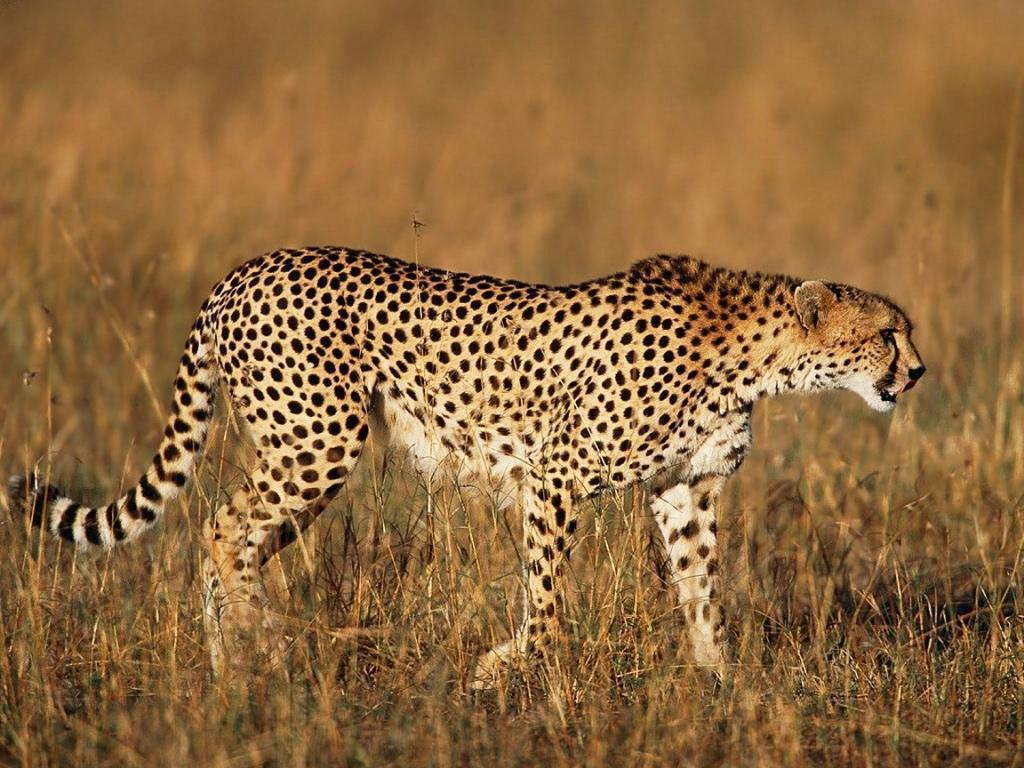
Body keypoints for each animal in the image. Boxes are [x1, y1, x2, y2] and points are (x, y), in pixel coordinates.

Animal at [8, 247, 925, 686]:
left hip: (306, 453)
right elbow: (547, 601)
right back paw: (260, 641)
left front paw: (722, 683)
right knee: (221, 528)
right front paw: (505, 670)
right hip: (318, 440)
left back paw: (229, 664)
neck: (751, 354)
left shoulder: (684, 489)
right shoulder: (557, 475)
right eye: (887, 333)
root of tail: (244, 270)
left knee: (233, 538)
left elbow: (704, 592)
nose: (917, 372)